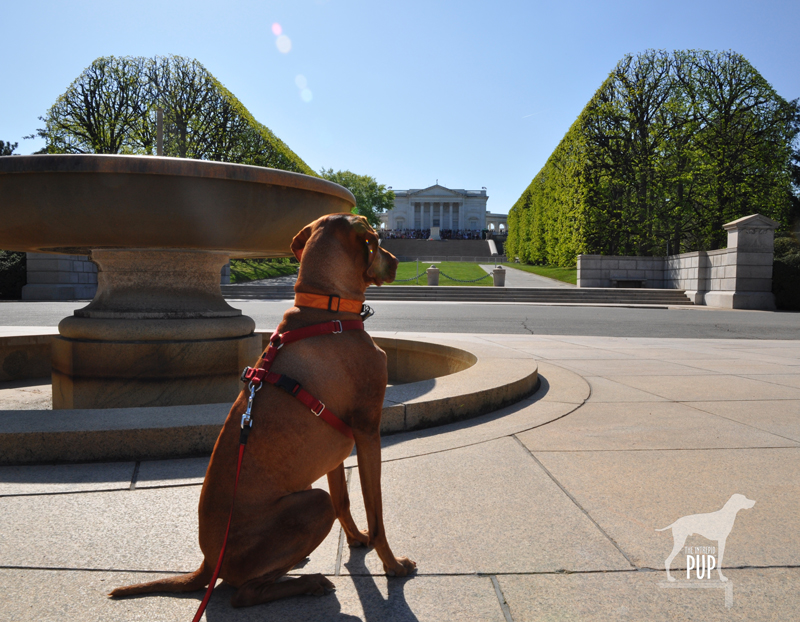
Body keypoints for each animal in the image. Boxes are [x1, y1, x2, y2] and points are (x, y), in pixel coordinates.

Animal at [110, 214, 416, 608]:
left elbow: (345, 501)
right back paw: (309, 582)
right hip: (312, 504)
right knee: (244, 593)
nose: (396, 261)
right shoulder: (367, 430)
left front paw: (355, 539)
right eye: (376, 240)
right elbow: (376, 513)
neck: (327, 310)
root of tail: (209, 562)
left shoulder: (337, 444)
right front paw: (392, 565)